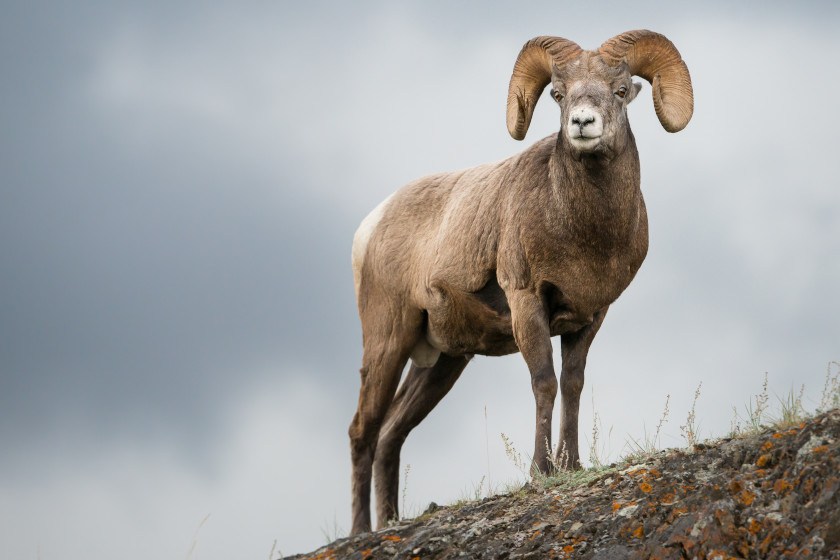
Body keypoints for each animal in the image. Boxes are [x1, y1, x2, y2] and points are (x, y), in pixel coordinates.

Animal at [352, 30, 692, 532]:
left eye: (619, 91)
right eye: (558, 94)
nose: (582, 123)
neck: (582, 233)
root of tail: (372, 225)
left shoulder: (589, 318)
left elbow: (573, 383)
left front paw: (571, 465)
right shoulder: (528, 304)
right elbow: (544, 382)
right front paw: (541, 472)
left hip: (442, 361)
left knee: (393, 432)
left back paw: (391, 522)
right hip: (388, 340)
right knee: (364, 429)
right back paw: (360, 531)